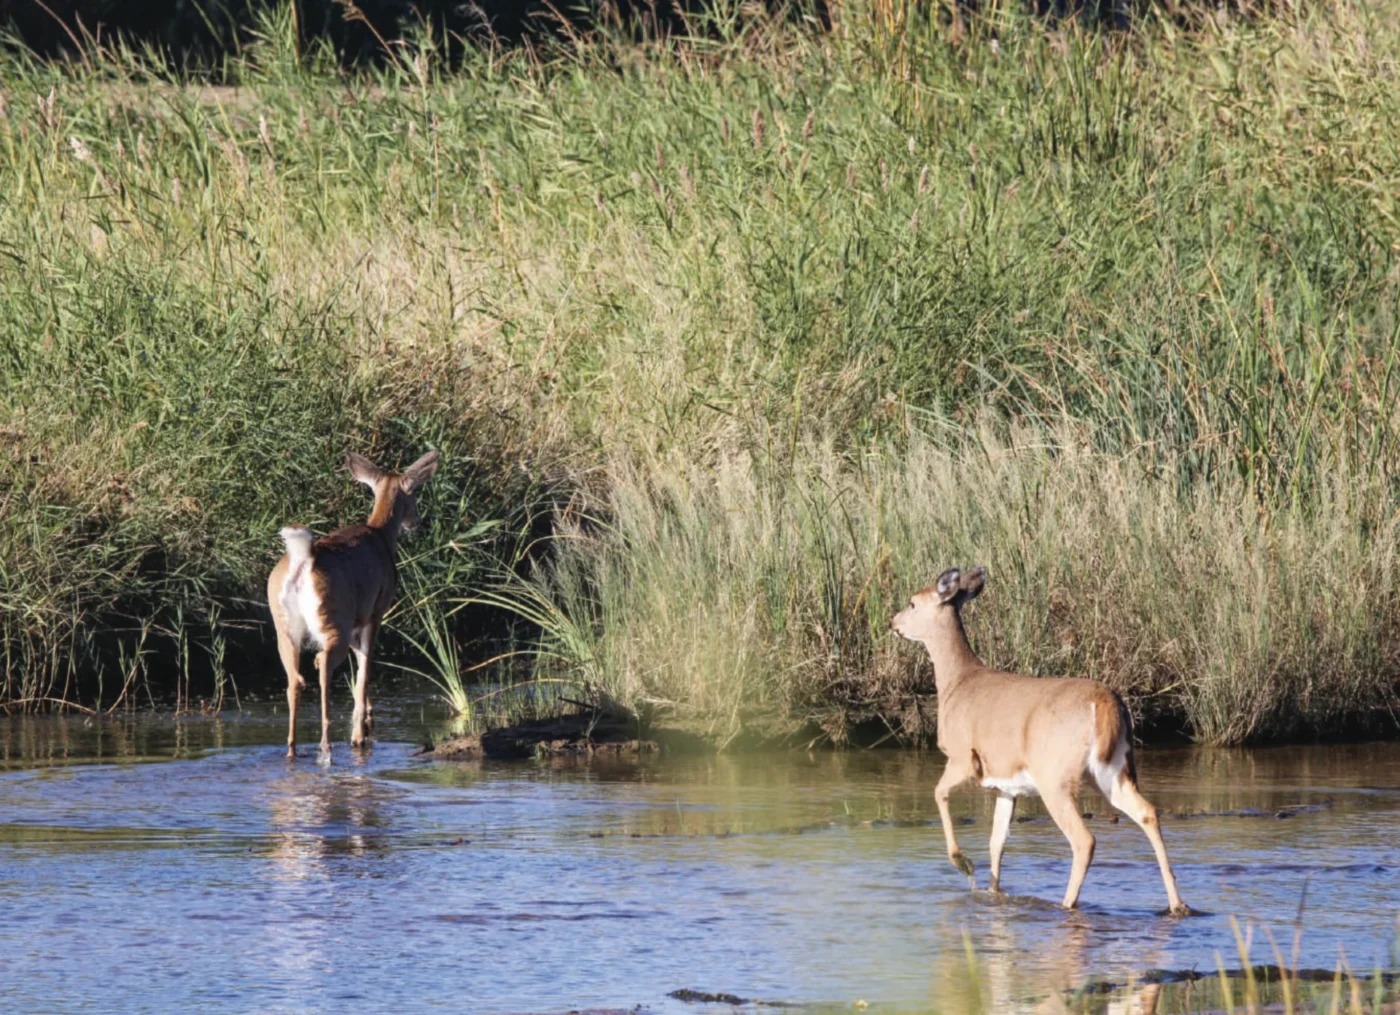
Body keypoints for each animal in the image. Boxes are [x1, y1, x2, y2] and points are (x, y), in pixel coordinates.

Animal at [267, 449, 440, 758]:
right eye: (414, 494)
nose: (416, 522)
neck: (381, 535)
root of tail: (303, 558)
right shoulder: (376, 611)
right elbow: (366, 667)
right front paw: (359, 734)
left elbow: (360, 664)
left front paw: (368, 721)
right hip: (335, 615)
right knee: (322, 663)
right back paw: (326, 744)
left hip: (283, 623)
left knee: (293, 680)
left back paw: (292, 749)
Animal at [890, 566, 1190, 916]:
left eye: (912, 602)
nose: (892, 623)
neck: (957, 682)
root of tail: (1104, 703)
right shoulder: (1007, 786)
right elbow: (997, 842)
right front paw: (993, 893)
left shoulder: (963, 757)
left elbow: (938, 793)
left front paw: (962, 863)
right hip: (1115, 769)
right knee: (1147, 812)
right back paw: (1178, 904)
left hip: (1055, 776)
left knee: (1084, 839)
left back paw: (1066, 903)